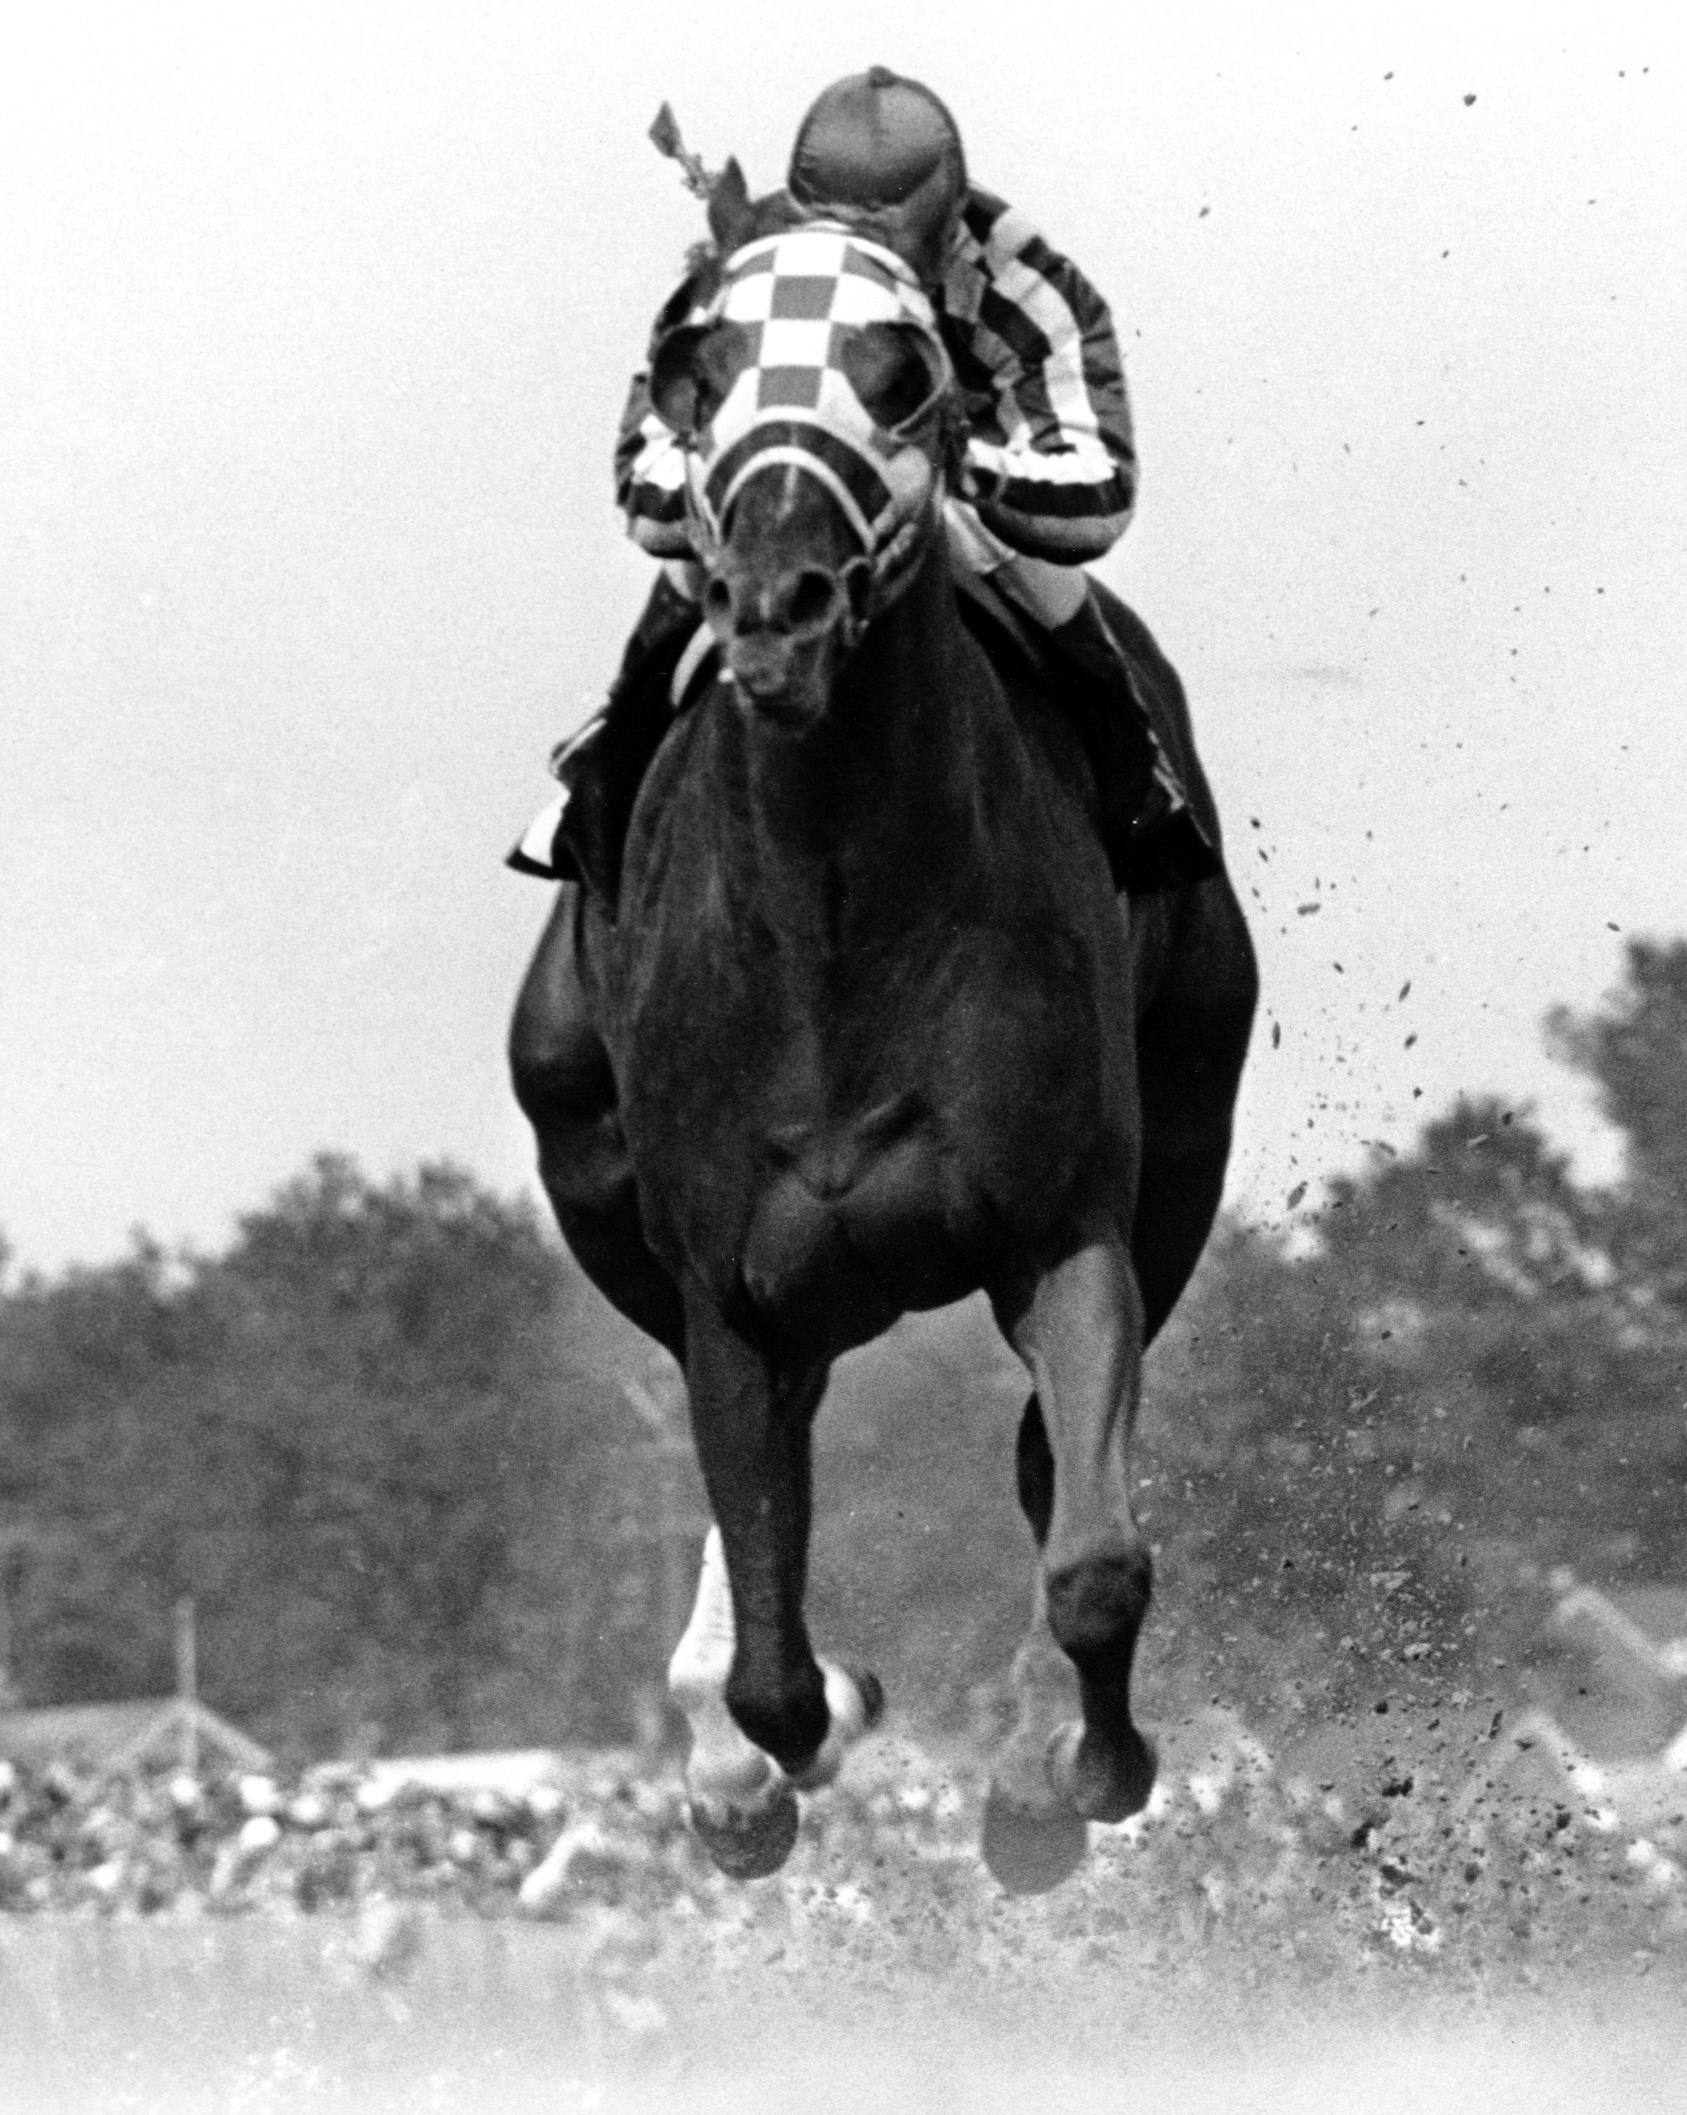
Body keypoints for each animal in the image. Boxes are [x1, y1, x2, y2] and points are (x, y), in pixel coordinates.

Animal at [510, 177, 1257, 1892]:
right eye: (698, 365)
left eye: (904, 372)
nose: (774, 600)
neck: (838, 913)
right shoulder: (728, 1281)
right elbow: (774, 1660)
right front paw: (778, 1741)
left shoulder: (1065, 1223)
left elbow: (1095, 1555)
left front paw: (1057, 1780)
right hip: (582, 1135)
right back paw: (727, 1757)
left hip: (1184, 1132)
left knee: (1050, 1462)